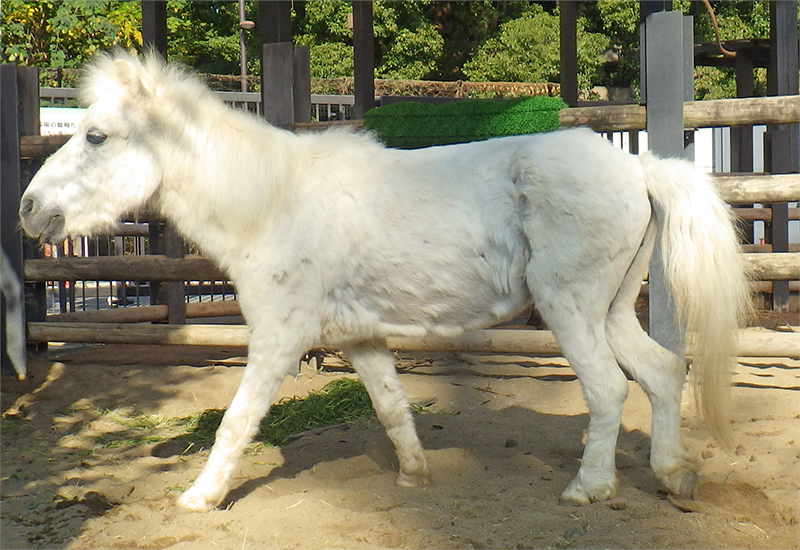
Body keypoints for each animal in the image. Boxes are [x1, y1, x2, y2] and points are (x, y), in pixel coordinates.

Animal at [20, 54, 752, 516]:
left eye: (95, 136)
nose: (30, 210)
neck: (271, 202)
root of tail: (639, 167)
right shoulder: (362, 339)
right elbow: (393, 411)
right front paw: (414, 479)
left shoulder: (278, 338)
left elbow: (236, 421)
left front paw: (200, 498)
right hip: (611, 310)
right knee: (663, 372)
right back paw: (673, 476)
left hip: (570, 308)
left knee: (608, 390)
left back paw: (589, 489)